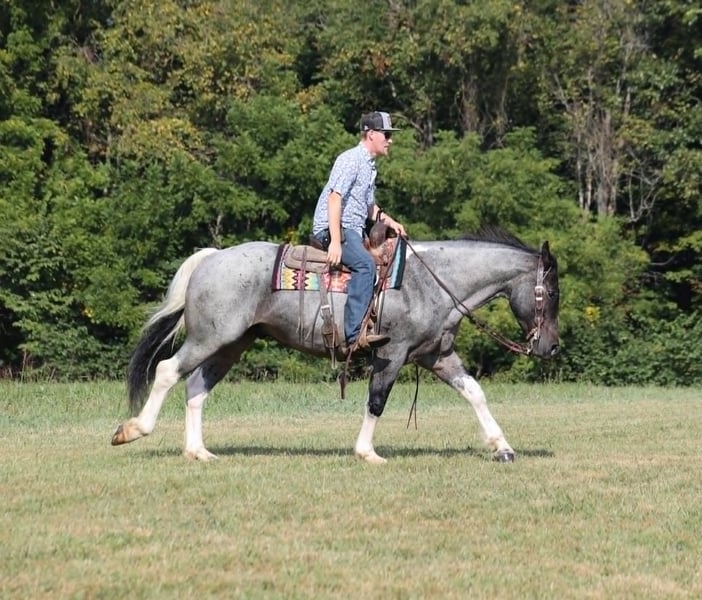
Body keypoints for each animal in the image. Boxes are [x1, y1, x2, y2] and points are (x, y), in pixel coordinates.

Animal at [112, 230, 560, 464]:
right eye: (552, 292)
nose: (552, 348)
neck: (430, 282)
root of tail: (212, 258)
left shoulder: (437, 355)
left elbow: (475, 393)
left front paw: (502, 448)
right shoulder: (392, 354)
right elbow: (376, 401)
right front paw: (367, 452)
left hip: (230, 345)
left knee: (195, 388)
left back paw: (198, 451)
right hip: (210, 338)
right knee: (167, 371)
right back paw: (133, 430)